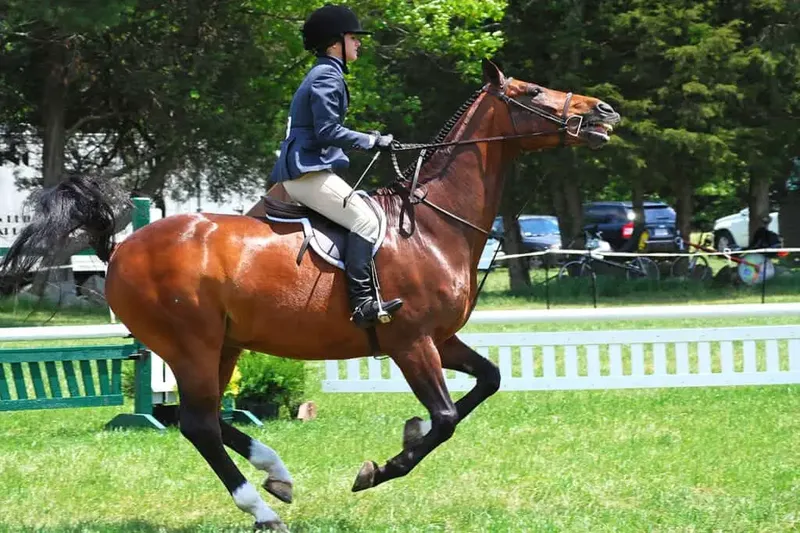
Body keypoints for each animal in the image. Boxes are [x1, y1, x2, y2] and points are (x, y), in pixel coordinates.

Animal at [0, 60, 620, 528]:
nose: (605, 112)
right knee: (197, 423)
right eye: (531, 92)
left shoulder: (441, 338)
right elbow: (444, 418)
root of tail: (123, 246)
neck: (432, 225)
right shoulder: (410, 340)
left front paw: (403, 440)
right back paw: (261, 508)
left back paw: (276, 475)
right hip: (191, 345)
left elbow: (487, 380)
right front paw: (380, 469)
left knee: (198, 417)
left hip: (220, 345)